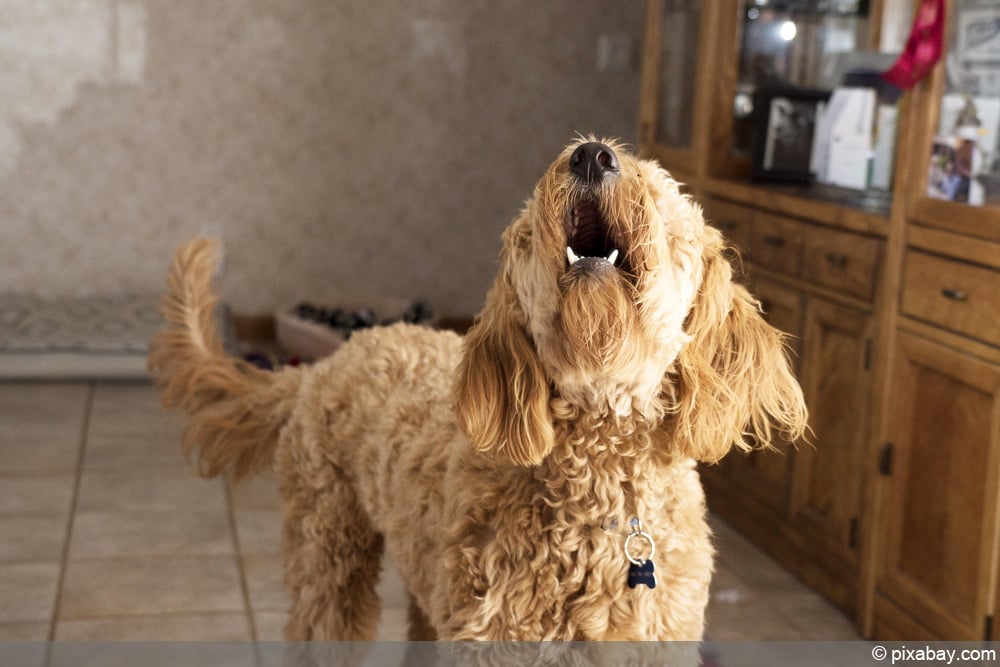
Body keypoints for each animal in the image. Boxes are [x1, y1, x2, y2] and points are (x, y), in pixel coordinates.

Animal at [146, 138, 804, 644]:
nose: (592, 155)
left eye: (660, 194)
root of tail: (324, 365)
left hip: (425, 584)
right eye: (529, 229)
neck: (598, 492)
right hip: (328, 553)